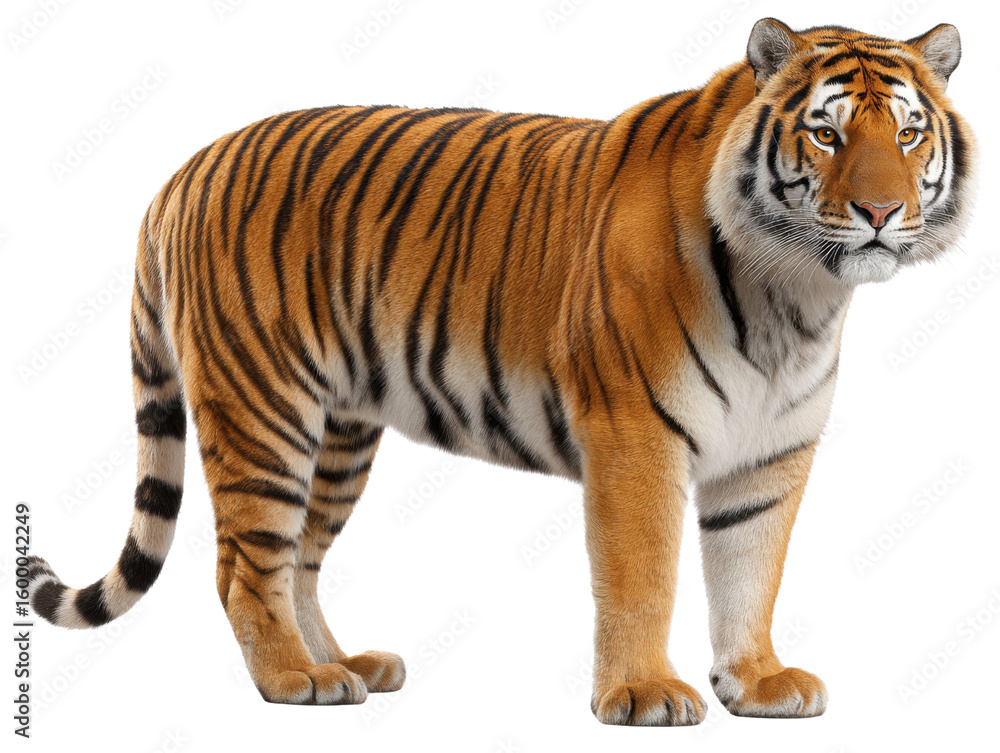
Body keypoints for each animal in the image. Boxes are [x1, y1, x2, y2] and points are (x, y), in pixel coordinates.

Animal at [24, 18, 974, 725]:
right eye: (827, 131)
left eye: (908, 130)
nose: (882, 211)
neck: (798, 293)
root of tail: (183, 170)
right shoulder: (635, 436)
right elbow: (644, 574)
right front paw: (642, 692)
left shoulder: (772, 452)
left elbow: (751, 569)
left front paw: (759, 681)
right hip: (265, 410)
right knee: (244, 565)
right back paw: (295, 680)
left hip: (339, 432)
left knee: (299, 559)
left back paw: (345, 664)